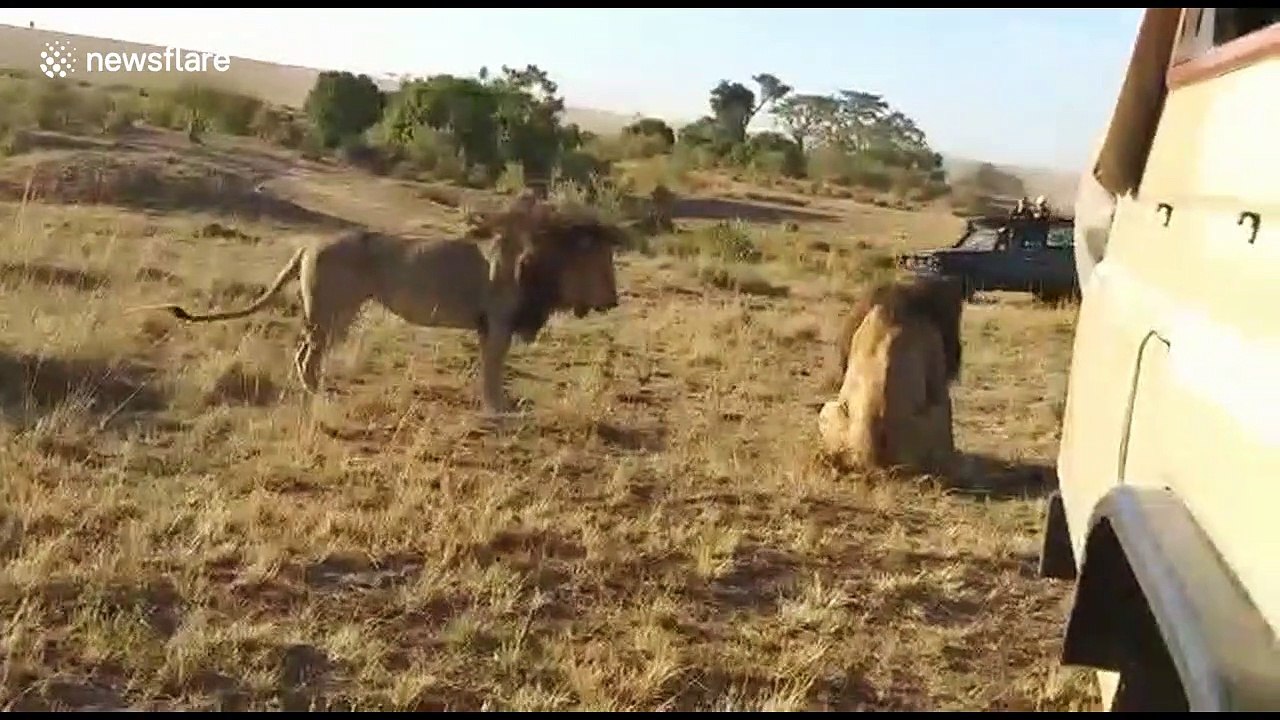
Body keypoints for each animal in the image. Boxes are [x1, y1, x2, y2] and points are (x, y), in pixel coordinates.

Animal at [143, 194, 624, 413]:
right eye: (603, 267)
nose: (615, 300)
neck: (545, 258)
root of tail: (308, 245)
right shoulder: (500, 322)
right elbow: (494, 369)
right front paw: (498, 408)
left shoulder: (491, 326)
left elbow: (488, 367)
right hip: (332, 312)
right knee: (307, 353)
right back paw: (318, 394)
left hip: (335, 314)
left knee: (306, 352)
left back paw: (317, 389)